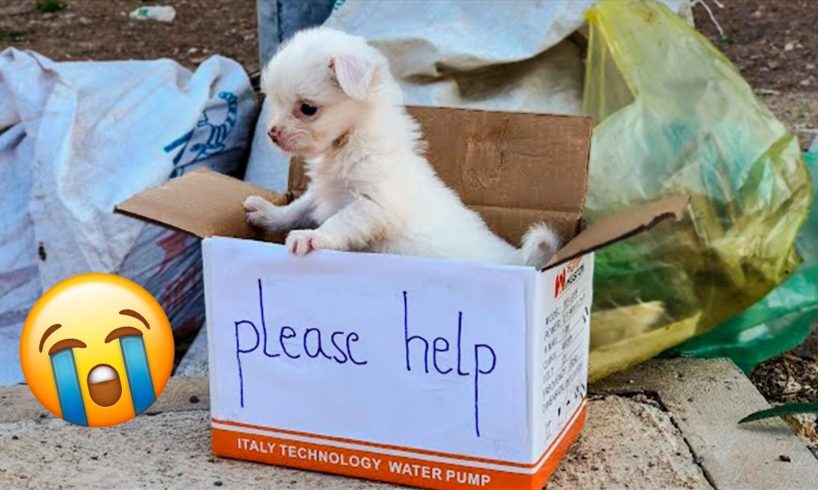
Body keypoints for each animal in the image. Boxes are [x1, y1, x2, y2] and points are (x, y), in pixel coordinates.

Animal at [242, 27, 560, 268]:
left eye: (307, 109)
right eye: (275, 101)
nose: (271, 134)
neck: (350, 138)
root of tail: (519, 261)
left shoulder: (374, 205)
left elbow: (339, 221)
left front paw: (310, 237)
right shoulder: (322, 192)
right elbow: (298, 207)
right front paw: (269, 213)